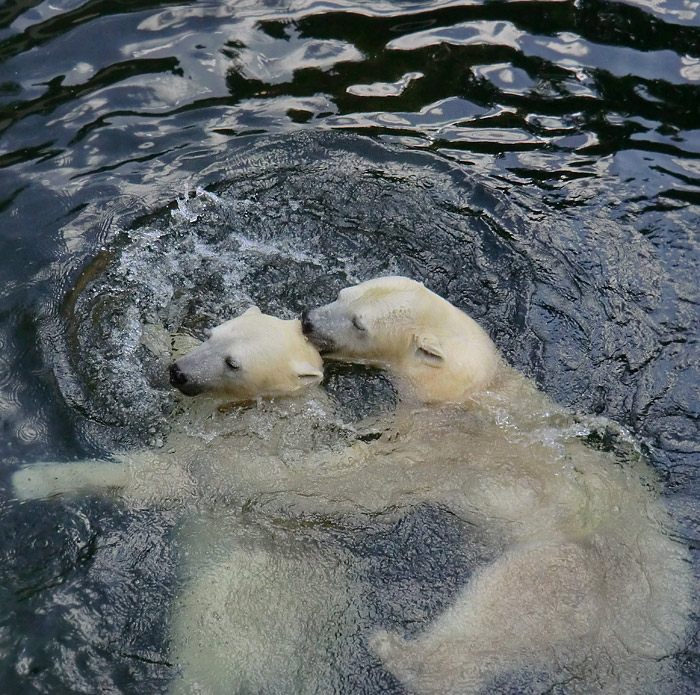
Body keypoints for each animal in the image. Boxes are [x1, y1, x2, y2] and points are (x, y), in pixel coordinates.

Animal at [13, 310, 358, 695]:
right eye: (212, 334)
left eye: (233, 363)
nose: (178, 373)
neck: (264, 409)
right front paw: (156, 335)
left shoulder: (228, 452)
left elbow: (161, 478)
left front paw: (29, 480)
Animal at [302, 278, 696, 695]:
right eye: (342, 294)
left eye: (359, 324)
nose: (307, 320)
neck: (473, 389)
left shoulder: (443, 441)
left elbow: (367, 484)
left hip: (567, 576)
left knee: (505, 606)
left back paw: (395, 651)